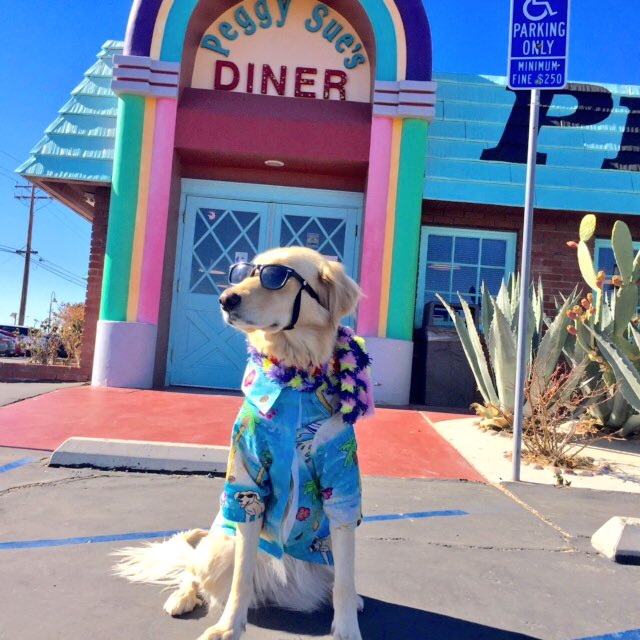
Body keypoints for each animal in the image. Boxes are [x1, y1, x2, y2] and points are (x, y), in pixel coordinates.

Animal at [116, 246, 370, 640]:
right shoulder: (248, 486)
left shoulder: (341, 489)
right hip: (218, 545)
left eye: (275, 278)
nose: (224, 299)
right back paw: (182, 597)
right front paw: (228, 627)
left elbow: (345, 580)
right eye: (244, 272)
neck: (296, 374)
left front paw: (346, 628)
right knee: (194, 571)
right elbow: (240, 579)